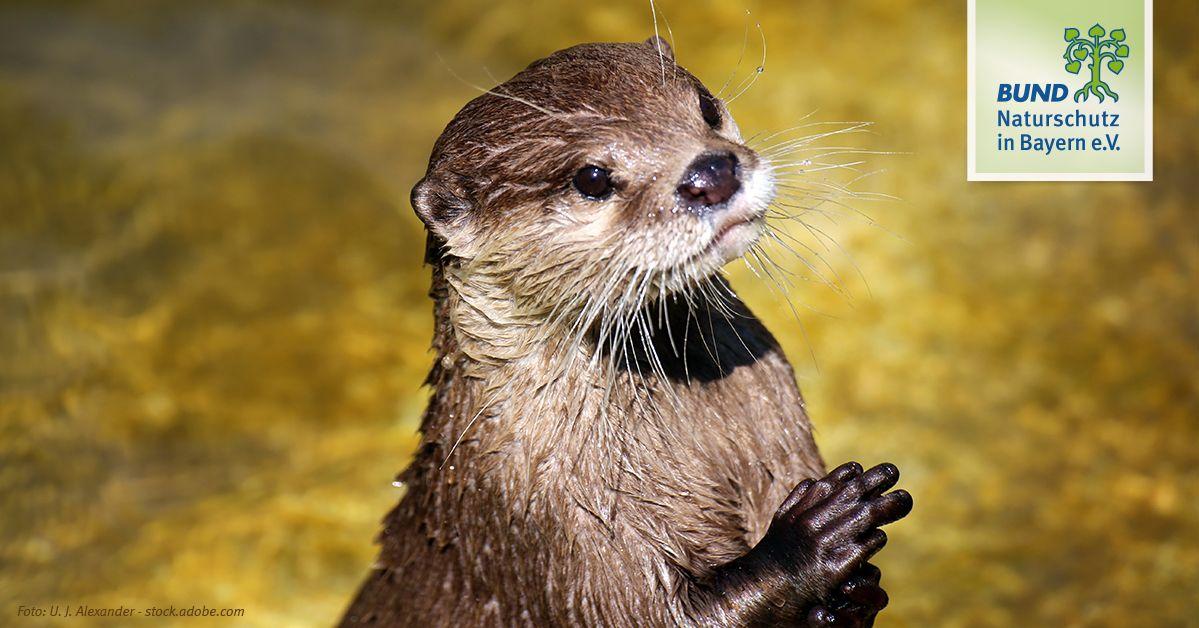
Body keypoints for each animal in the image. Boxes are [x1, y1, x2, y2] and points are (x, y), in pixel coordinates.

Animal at [342, 38, 911, 623]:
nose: (712, 173)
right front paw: (810, 540)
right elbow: (655, 615)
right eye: (591, 178)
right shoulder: (545, 513)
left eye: (706, 107)